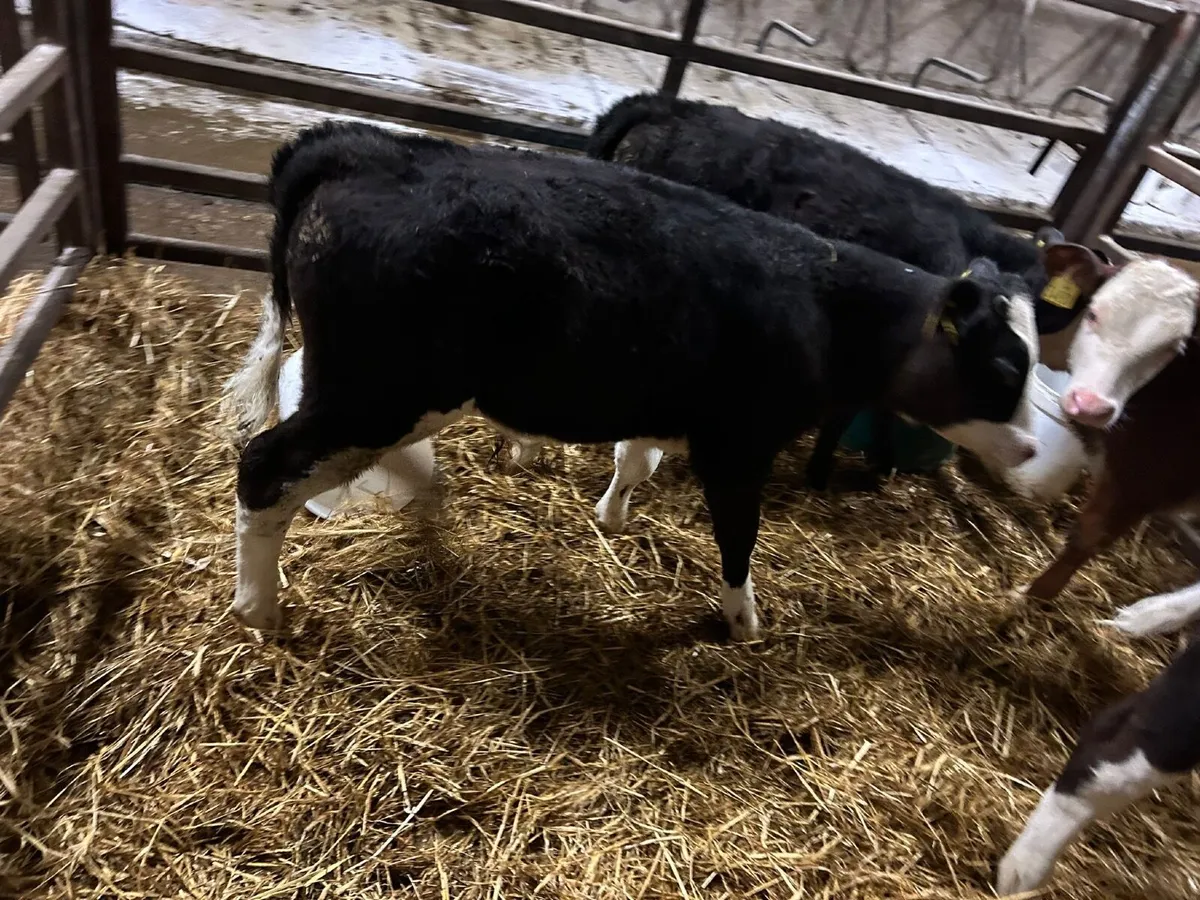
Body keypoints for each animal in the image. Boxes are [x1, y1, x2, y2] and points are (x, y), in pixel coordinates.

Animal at [223, 120, 1036, 641]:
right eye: (1003, 365)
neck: (824, 300)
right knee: (265, 466)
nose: (1031, 451)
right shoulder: (739, 444)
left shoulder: (666, 406)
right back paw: (260, 610)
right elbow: (739, 534)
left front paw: (610, 518)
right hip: (375, 390)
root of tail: (359, 146)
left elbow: (633, 459)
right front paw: (744, 621)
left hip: (384, 393)